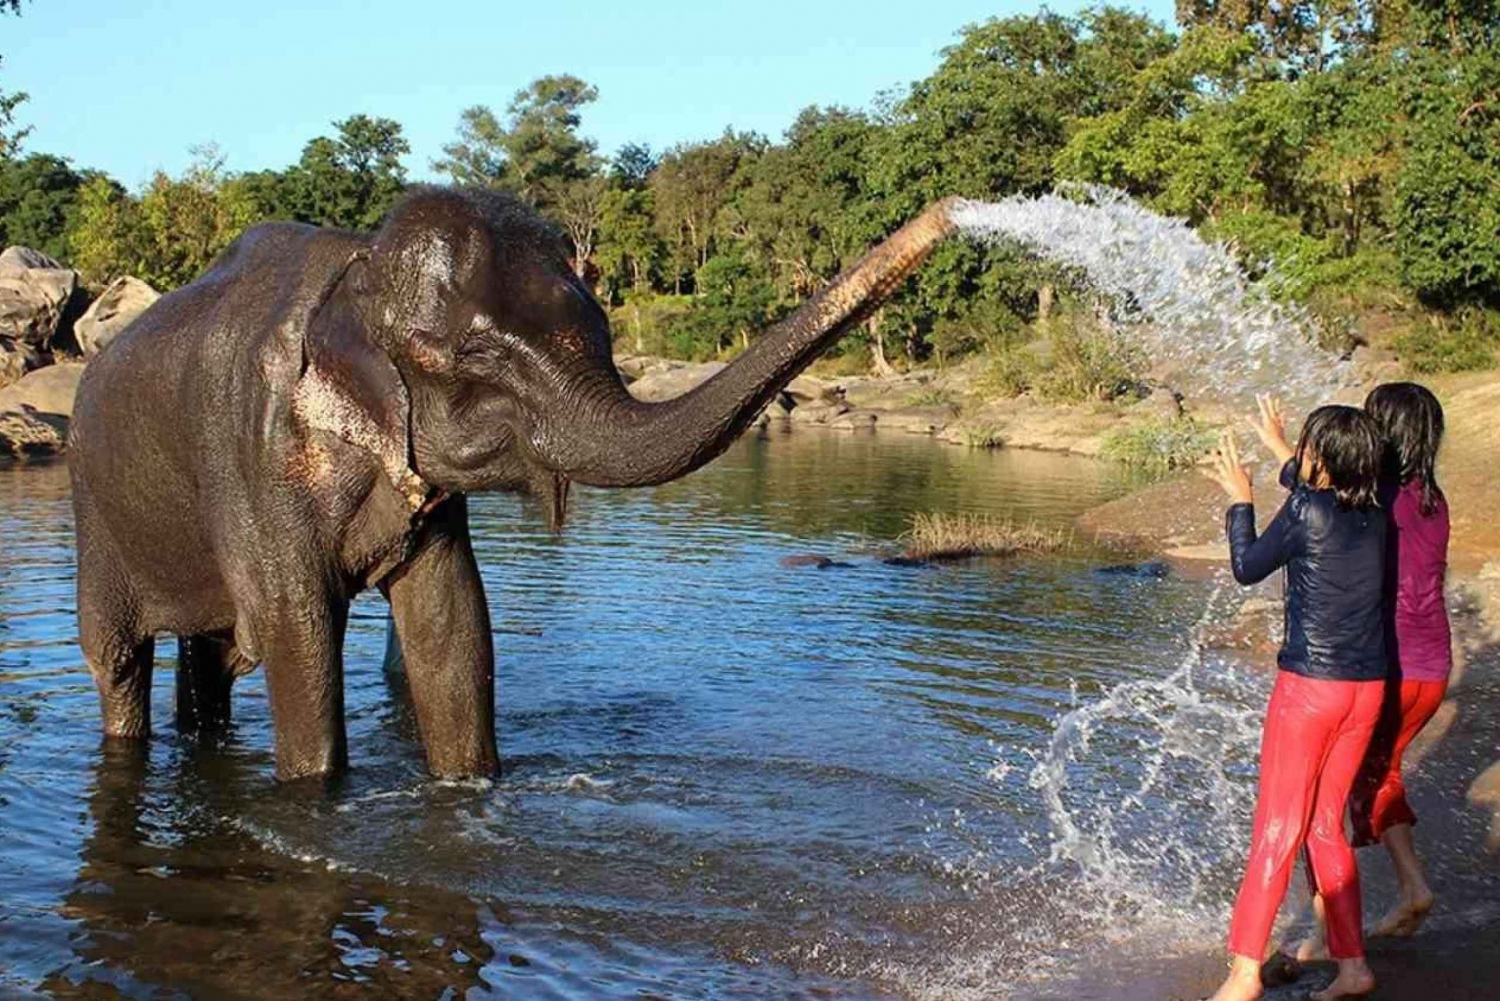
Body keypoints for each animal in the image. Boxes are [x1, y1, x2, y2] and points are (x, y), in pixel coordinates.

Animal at [64, 186, 954, 780]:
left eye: (603, 328)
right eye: (478, 358)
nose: (952, 213)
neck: (357, 269)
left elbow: (452, 623)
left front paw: (472, 790)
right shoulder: (253, 452)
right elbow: (298, 628)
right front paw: (318, 792)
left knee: (210, 652)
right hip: (94, 510)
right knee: (118, 659)